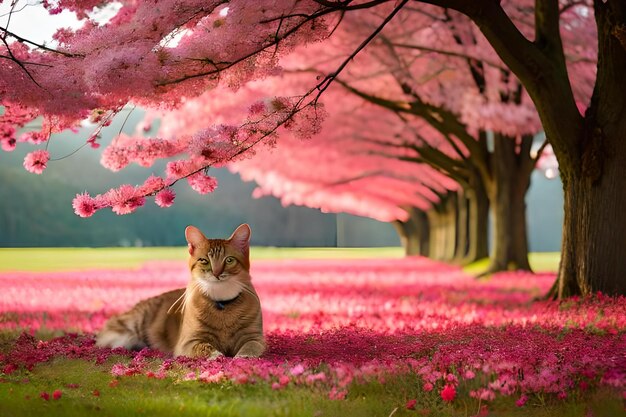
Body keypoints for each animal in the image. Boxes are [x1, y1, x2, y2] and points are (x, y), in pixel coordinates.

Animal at [95, 224, 264, 358]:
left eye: (229, 260)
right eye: (204, 260)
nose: (216, 273)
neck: (222, 305)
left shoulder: (255, 337)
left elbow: (251, 347)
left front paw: (242, 358)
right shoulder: (188, 341)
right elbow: (205, 347)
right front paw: (218, 356)